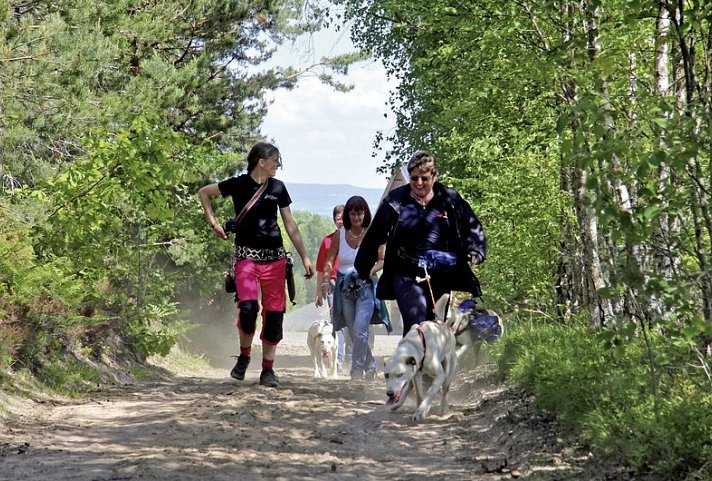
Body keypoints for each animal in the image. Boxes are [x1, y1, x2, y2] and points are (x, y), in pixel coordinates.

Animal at [384, 292, 456, 420]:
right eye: (386, 375)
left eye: (400, 375)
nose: (390, 393)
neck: (414, 344)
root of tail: (441, 322)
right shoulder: (416, 374)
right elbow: (419, 394)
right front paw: (418, 408)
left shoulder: (439, 376)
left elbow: (430, 393)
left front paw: (421, 411)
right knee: (409, 387)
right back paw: (397, 405)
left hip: (448, 370)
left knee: (445, 389)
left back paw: (443, 408)